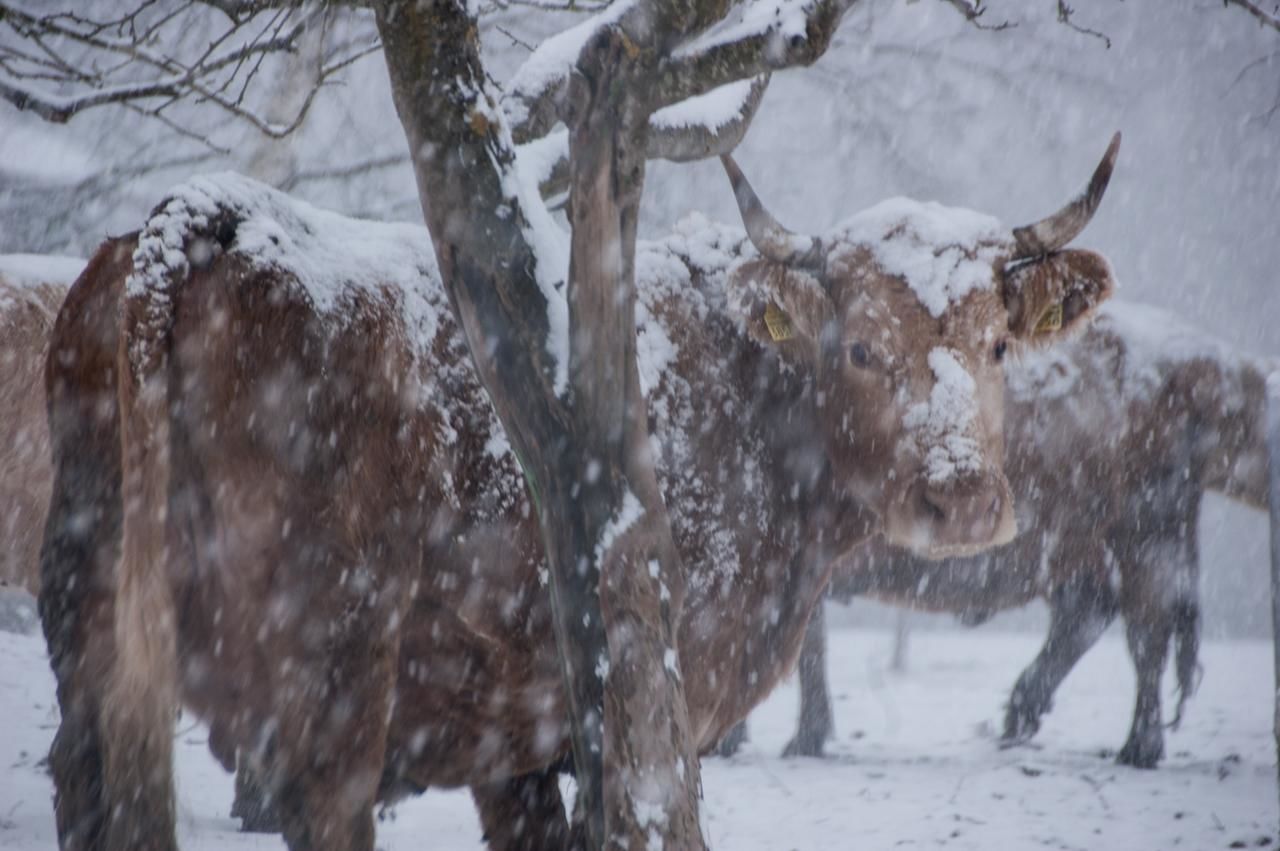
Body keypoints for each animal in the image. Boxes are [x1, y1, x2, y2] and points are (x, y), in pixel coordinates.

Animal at [37, 137, 1121, 849]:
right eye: (858, 347)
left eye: (997, 344)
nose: (963, 497)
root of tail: (220, 222)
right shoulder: (642, 724)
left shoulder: (510, 739)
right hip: (331, 667)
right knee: (322, 802)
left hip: (87, 620)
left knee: (84, 776)